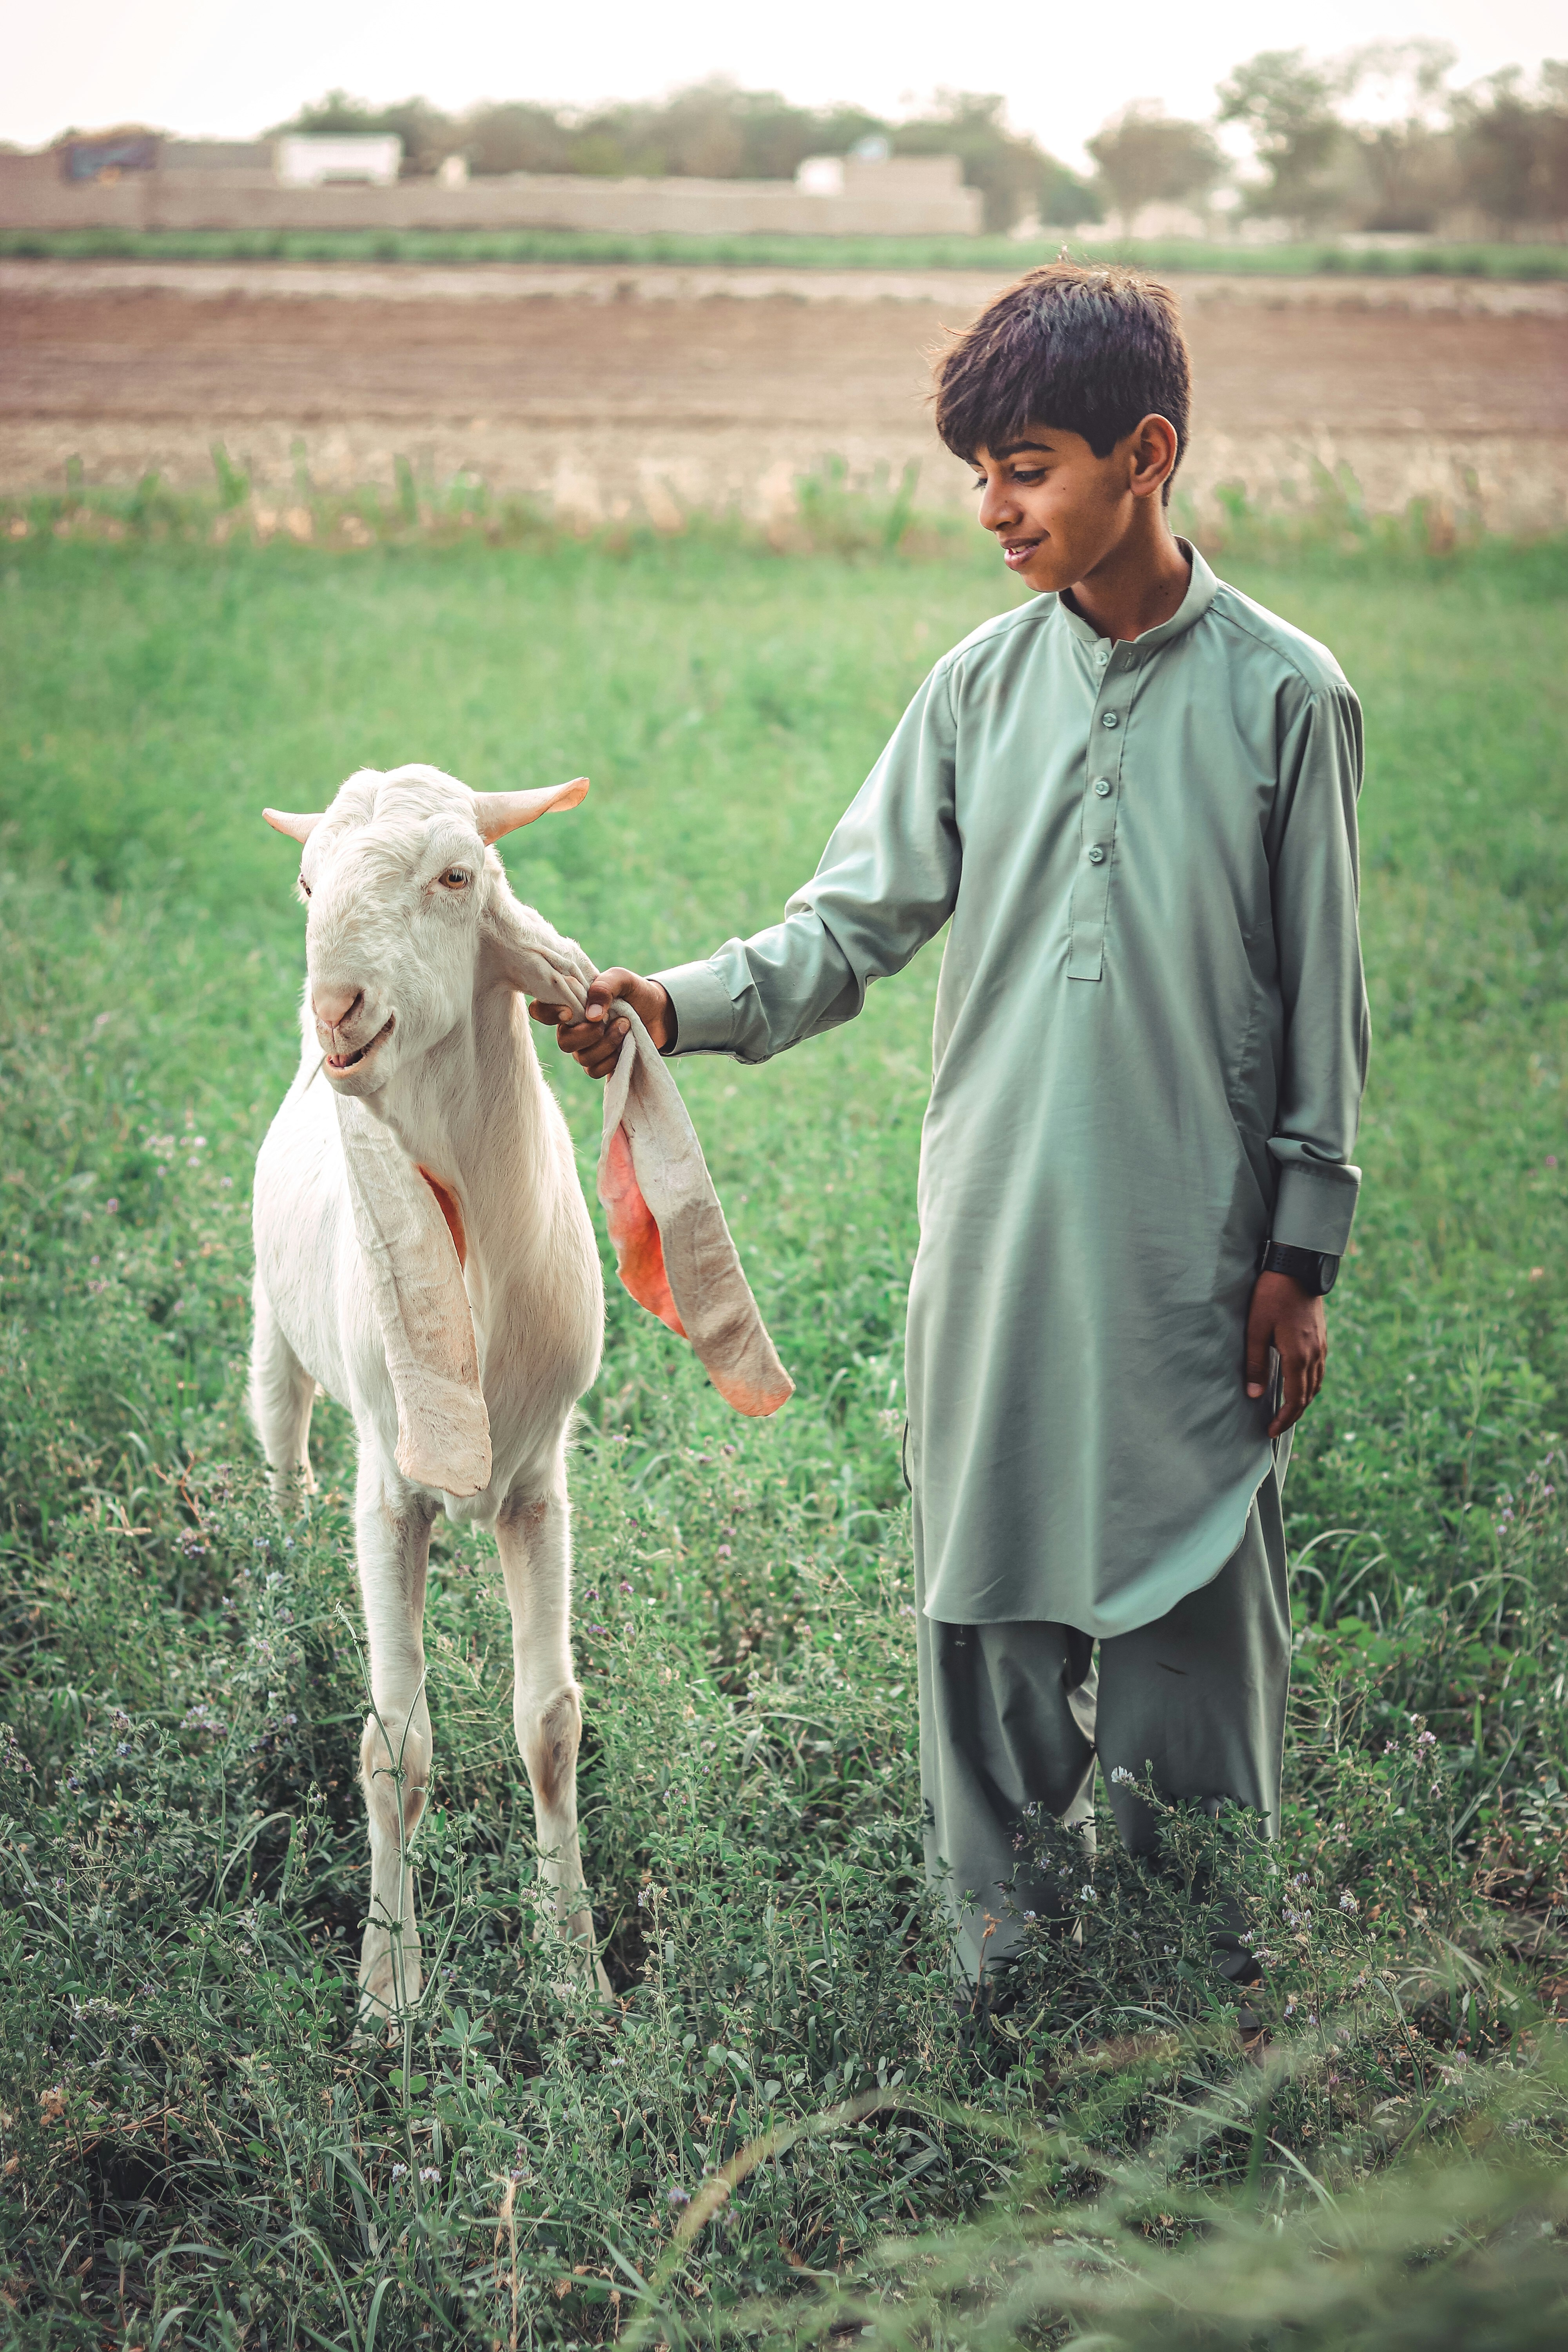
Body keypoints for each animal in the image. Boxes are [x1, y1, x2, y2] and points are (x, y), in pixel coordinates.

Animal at [250, 763, 614, 2018]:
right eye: (307, 884)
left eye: (458, 875)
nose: (335, 1011)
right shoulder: (389, 1486)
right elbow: (393, 1745)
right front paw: (389, 1988)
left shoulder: (540, 1481)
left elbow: (549, 1723)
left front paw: (573, 1968)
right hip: (274, 1331)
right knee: (284, 1463)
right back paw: (277, 1636)